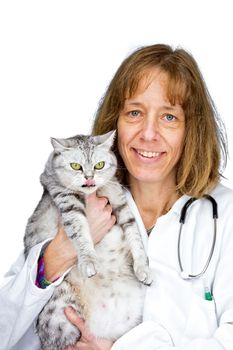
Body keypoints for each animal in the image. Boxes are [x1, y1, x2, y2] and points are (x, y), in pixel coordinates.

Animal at [23, 131, 151, 350]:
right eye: (76, 166)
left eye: (99, 165)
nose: (89, 177)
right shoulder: (67, 200)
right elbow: (80, 232)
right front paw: (89, 261)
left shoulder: (120, 203)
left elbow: (135, 235)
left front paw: (143, 268)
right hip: (61, 315)